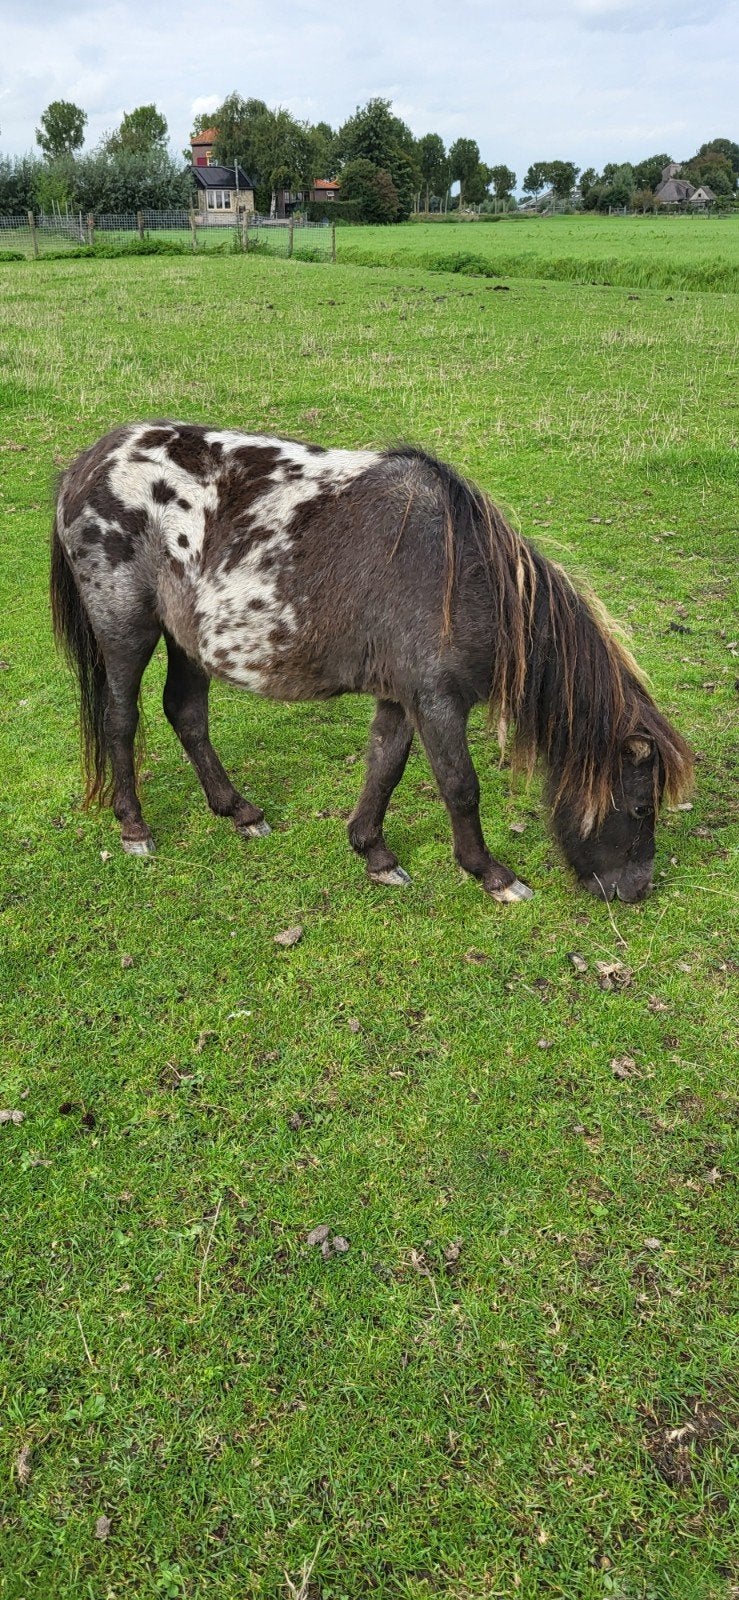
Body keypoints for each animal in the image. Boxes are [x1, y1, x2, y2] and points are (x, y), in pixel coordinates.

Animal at [50, 422, 694, 904]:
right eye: (641, 807)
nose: (635, 890)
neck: (461, 578)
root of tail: (86, 465)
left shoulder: (402, 697)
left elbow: (383, 766)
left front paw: (374, 853)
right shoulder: (438, 702)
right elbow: (460, 786)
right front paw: (492, 874)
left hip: (187, 640)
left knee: (185, 714)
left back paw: (239, 811)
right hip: (127, 631)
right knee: (121, 720)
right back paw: (134, 827)